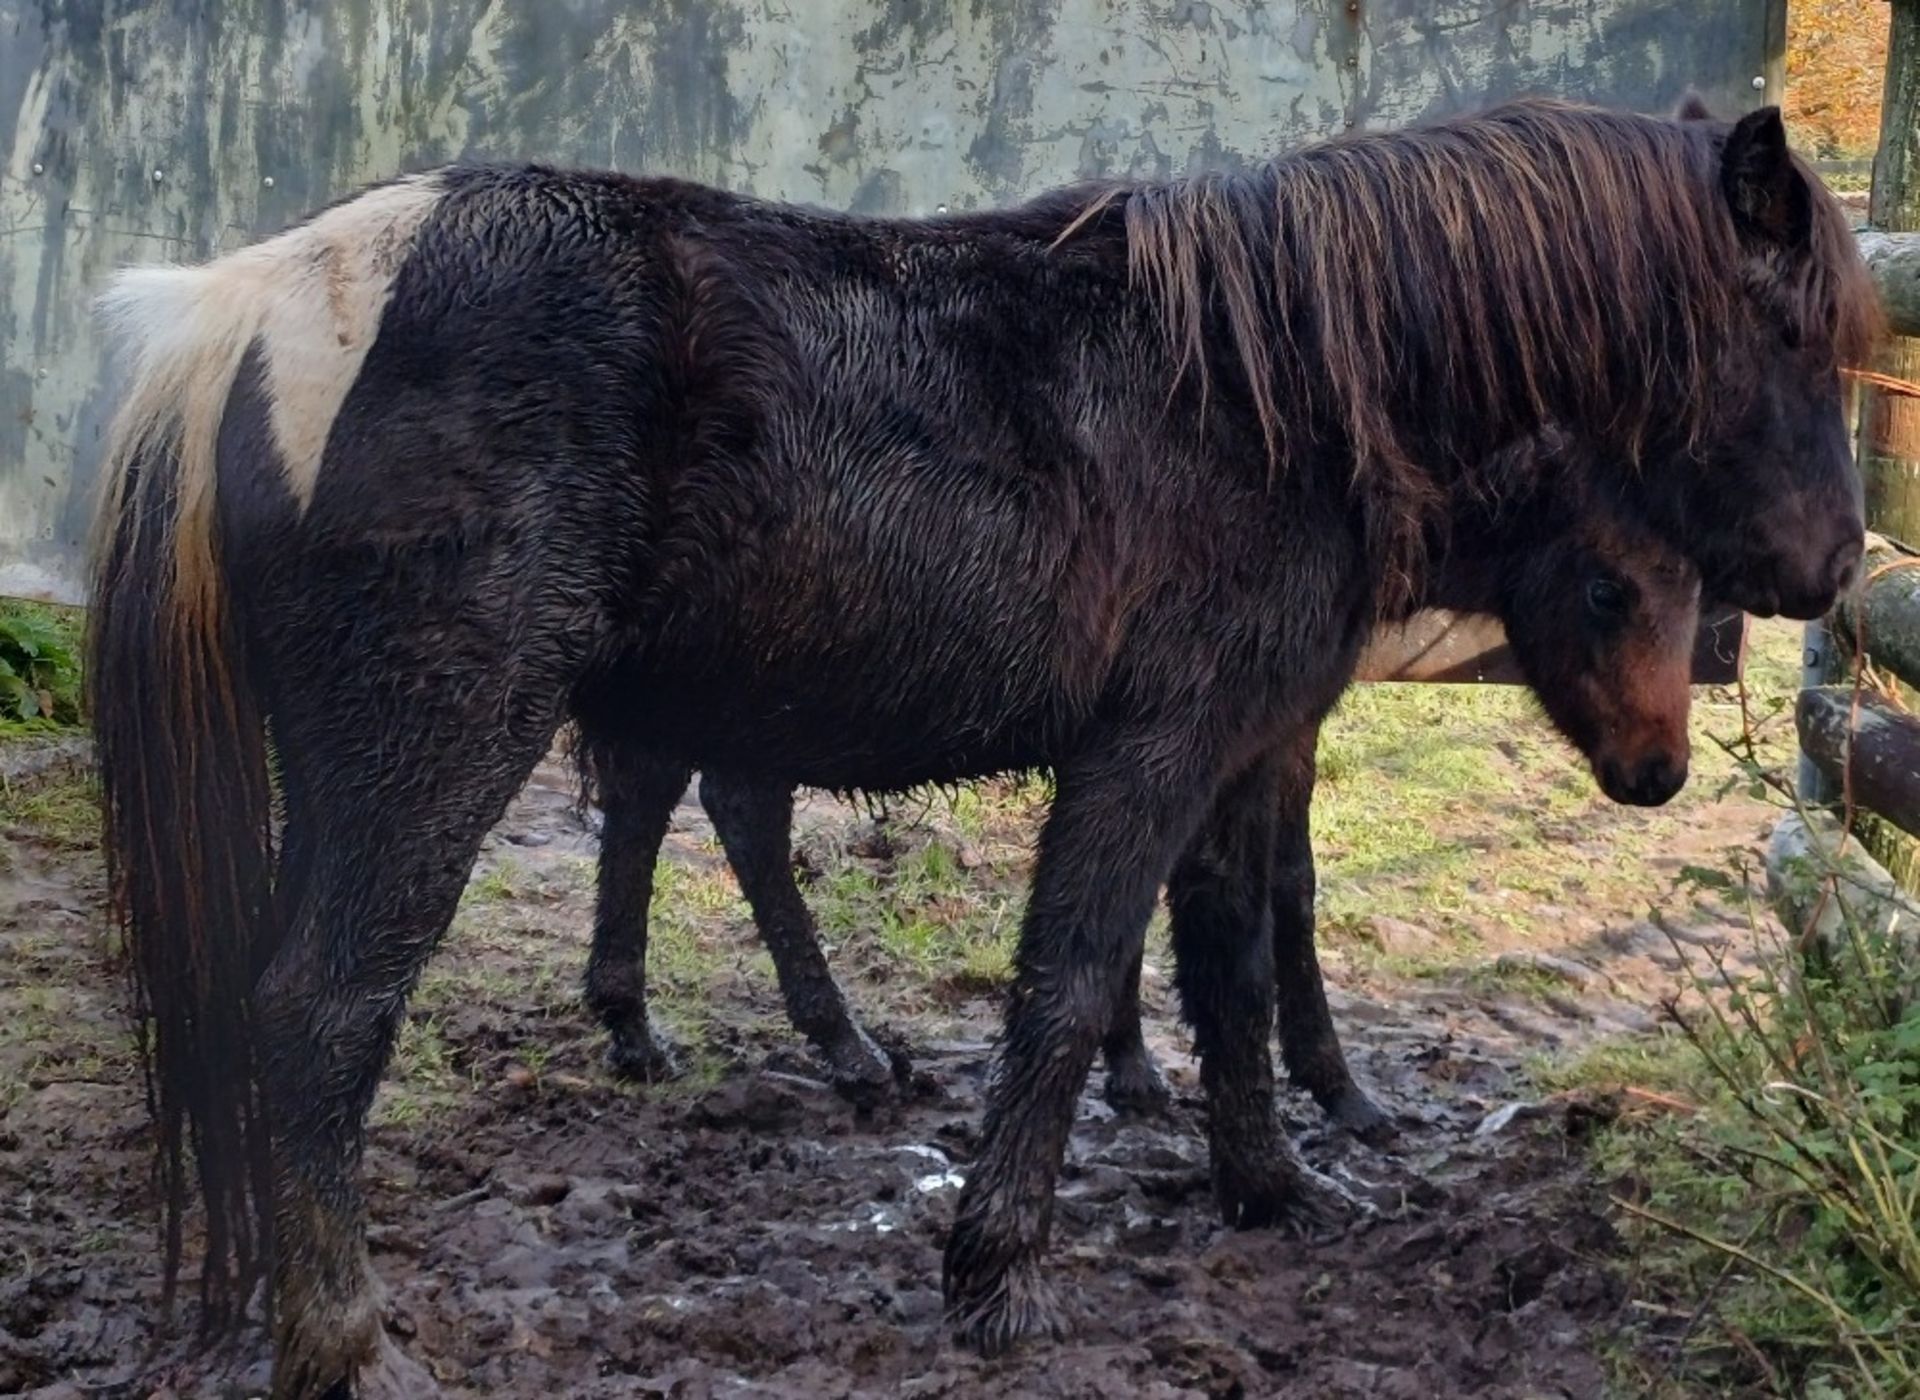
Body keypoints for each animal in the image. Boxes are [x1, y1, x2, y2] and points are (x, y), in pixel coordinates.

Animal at [93, 95, 1873, 1390]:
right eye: (1789, 338)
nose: (1840, 566)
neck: (1280, 389)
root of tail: (254, 305)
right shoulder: (1154, 749)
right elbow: (1075, 989)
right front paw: (1001, 1275)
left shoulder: (1245, 750)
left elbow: (1233, 966)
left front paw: (1275, 1186)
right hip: (435, 751)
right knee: (322, 1014)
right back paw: (349, 1341)